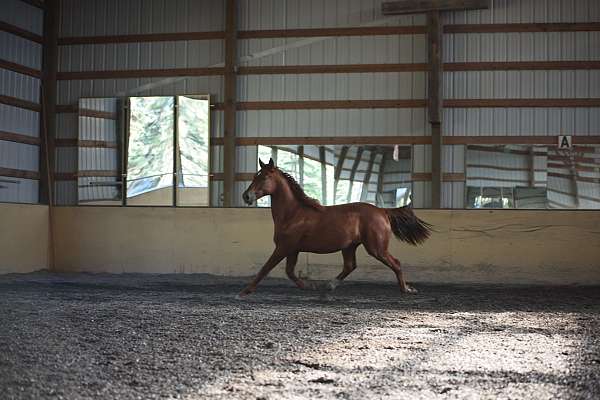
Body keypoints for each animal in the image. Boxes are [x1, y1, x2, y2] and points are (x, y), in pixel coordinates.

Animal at [239, 157, 432, 296]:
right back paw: (329, 285)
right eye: (254, 176)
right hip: (349, 246)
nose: (246, 196)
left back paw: (406, 289)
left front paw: (244, 291)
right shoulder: (292, 249)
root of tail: (382, 211)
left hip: (376, 248)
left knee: (396, 263)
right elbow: (290, 272)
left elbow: (265, 268)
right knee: (350, 266)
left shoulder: (283, 247)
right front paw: (310, 287)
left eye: (264, 177)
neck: (292, 214)